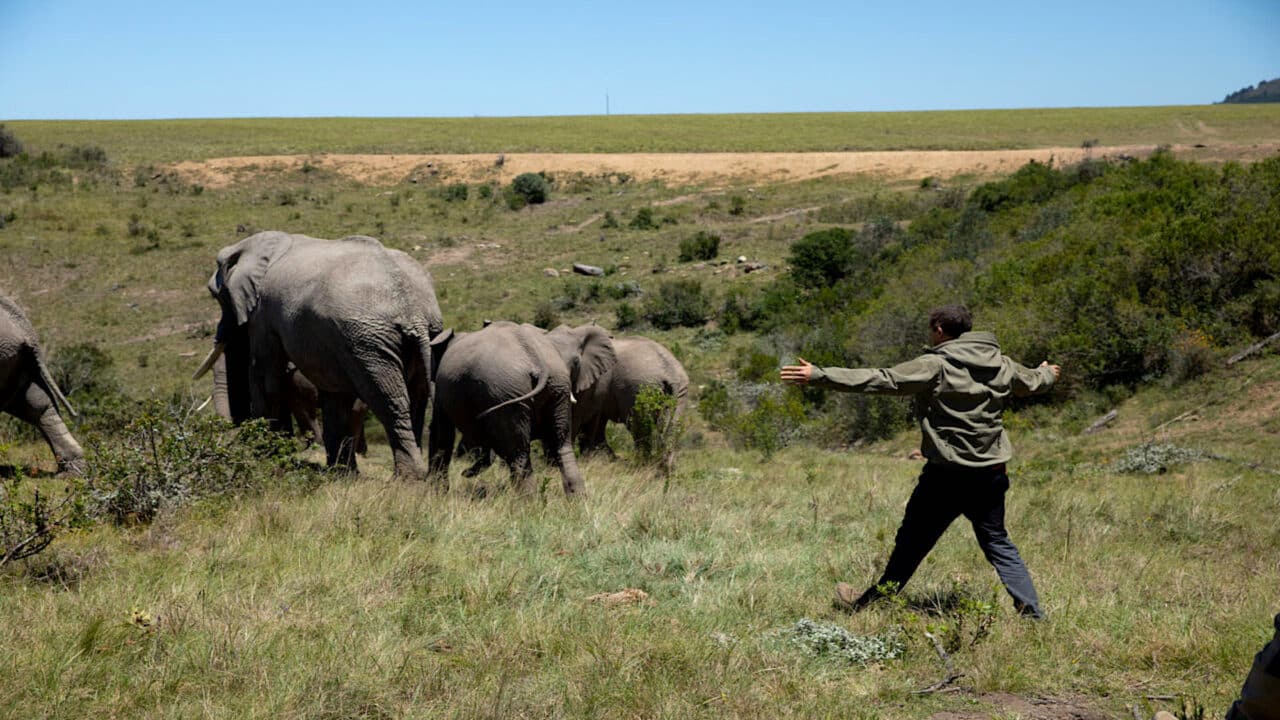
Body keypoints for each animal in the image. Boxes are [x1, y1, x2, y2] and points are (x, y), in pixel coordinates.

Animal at [193, 229, 445, 476]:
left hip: (369, 342)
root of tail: (414, 312)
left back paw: (408, 479)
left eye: (216, 295)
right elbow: (331, 391)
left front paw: (265, 457)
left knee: (388, 401)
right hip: (416, 336)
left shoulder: (263, 312)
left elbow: (265, 376)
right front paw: (340, 474)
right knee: (411, 398)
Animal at [424, 319, 614, 491]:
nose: (465, 473)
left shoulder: (441, 392)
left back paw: (528, 504)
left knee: (518, 454)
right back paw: (576, 501)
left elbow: (441, 433)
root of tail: (536, 358)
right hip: (555, 388)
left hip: (506, 391)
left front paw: (437, 493)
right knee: (561, 446)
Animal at [550, 322, 691, 468]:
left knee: (639, 428)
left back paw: (643, 465)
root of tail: (670, 372)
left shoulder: (593, 382)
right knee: (673, 427)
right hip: (680, 390)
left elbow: (578, 415)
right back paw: (665, 468)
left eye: (575, 363)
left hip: (640, 388)